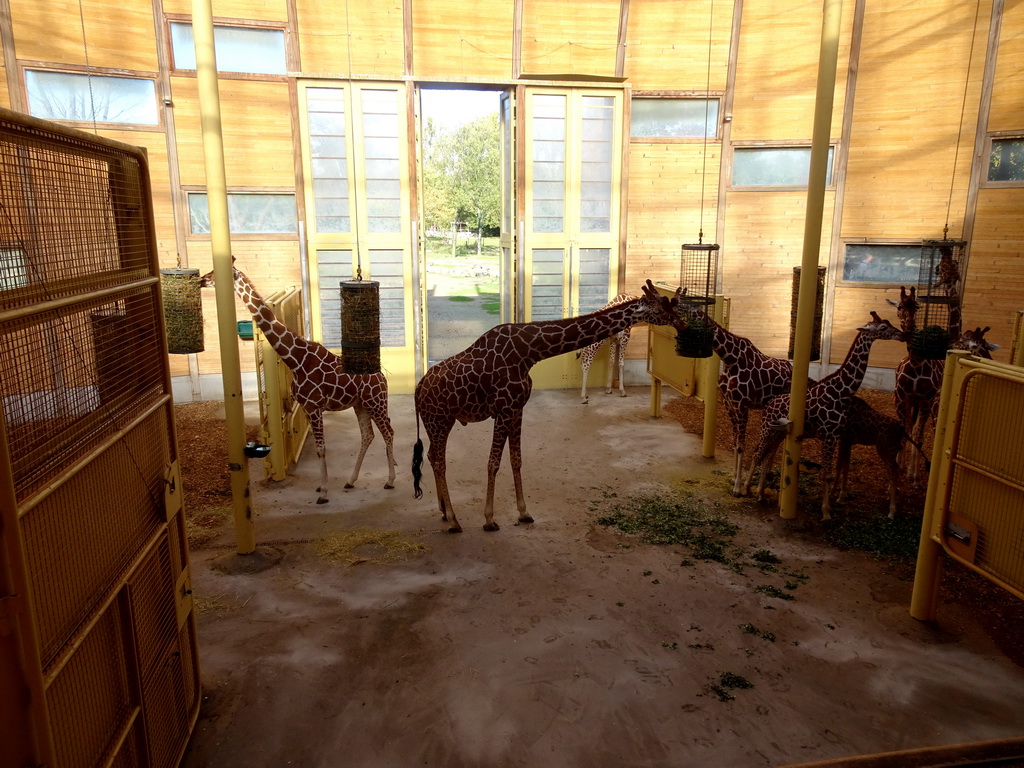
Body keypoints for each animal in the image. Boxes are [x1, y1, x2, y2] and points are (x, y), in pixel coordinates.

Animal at [198, 264, 395, 505]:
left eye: (214, 273)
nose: (201, 280)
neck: (296, 359)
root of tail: (382, 377)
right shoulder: (306, 407)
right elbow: (322, 448)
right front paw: (322, 487)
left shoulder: (313, 406)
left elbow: (321, 449)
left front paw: (323, 492)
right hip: (361, 404)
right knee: (368, 435)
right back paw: (350, 480)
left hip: (375, 402)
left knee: (388, 432)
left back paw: (390, 480)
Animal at [411, 280, 684, 532]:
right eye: (661, 309)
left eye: (671, 305)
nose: (681, 323)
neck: (529, 353)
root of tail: (418, 388)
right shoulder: (503, 409)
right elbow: (493, 463)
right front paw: (489, 519)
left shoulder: (517, 409)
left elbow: (516, 460)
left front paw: (524, 513)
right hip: (439, 420)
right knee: (439, 461)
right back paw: (453, 521)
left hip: (438, 421)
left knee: (432, 456)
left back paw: (443, 511)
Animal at [667, 307, 802, 499]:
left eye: (685, 310)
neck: (730, 358)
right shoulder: (729, 404)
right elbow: (734, 442)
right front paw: (733, 479)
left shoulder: (741, 405)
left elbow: (740, 446)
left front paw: (737, 487)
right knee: (773, 446)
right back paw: (764, 484)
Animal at [745, 313, 905, 524]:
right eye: (883, 328)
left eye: (888, 323)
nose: (902, 335)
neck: (840, 392)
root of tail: (769, 403)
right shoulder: (829, 435)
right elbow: (826, 474)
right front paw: (826, 512)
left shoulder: (836, 435)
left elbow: (832, 471)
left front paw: (829, 507)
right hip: (766, 429)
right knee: (757, 454)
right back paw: (744, 489)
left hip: (777, 433)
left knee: (766, 456)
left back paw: (760, 494)